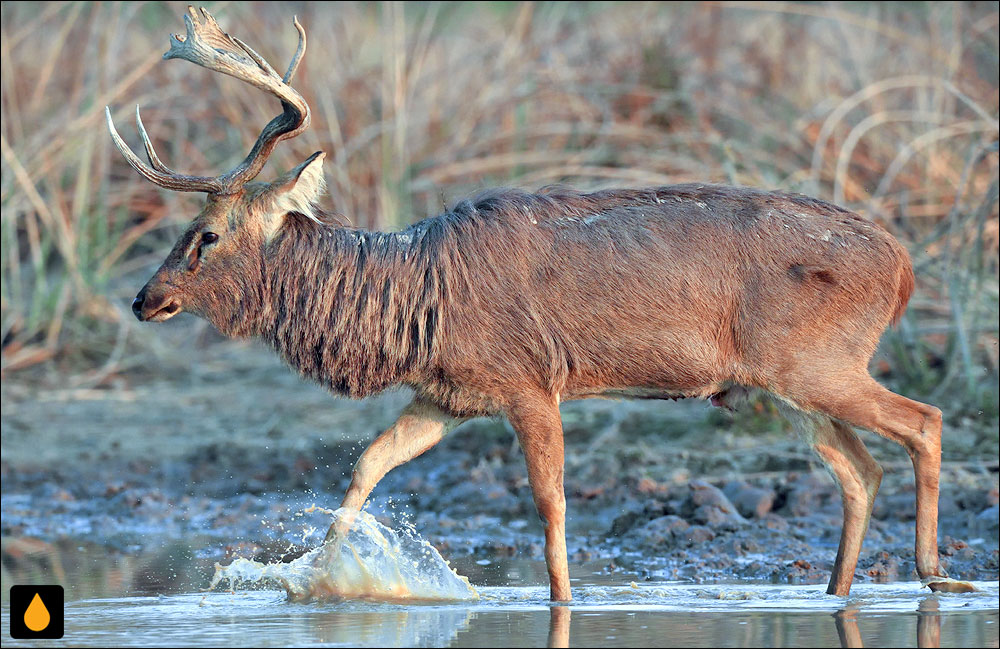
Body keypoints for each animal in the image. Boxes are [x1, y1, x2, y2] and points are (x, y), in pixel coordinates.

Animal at [111, 6, 976, 604]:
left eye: (206, 234)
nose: (145, 298)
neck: (409, 302)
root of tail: (902, 265)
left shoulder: (529, 379)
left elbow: (550, 500)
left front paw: (562, 599)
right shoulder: (447, 392)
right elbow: (366, 465)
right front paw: (311, 577)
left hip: (815, 360)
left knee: (924, 421)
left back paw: (936, 571)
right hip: (786, 381)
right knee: (860, 467)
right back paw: (837, 589)